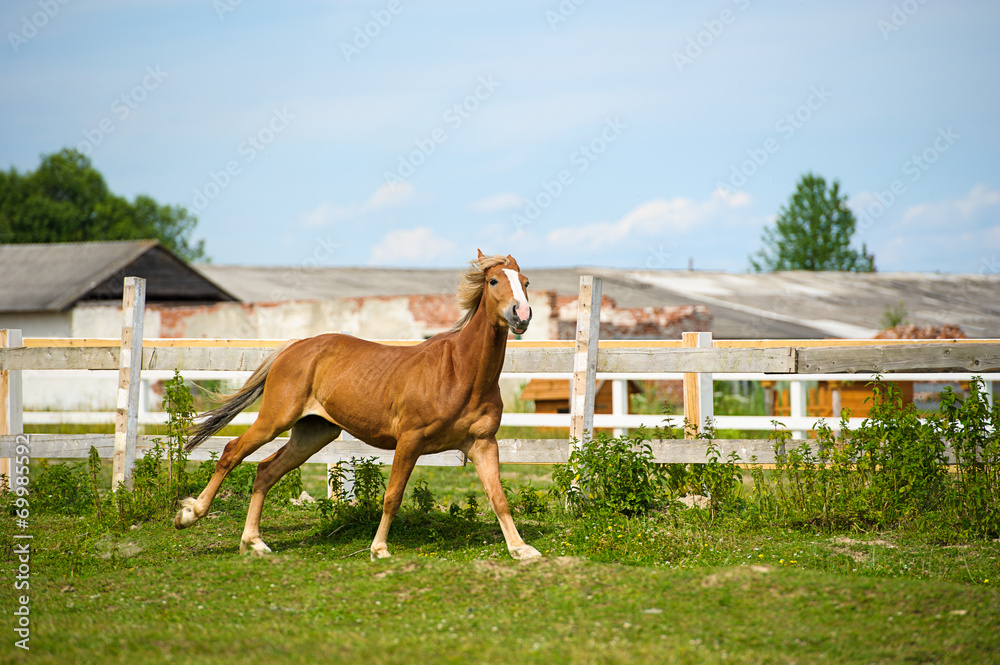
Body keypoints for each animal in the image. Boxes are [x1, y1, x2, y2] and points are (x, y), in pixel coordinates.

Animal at [174, 250, 541, 561]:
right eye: (493, 281)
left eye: (525, 283)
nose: (521, 315)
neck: (460, 373)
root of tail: (295, 347)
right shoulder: (410, 441)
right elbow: (392, 496)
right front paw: (379, 549)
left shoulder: (482, 444)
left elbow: (498, 498)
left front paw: (522, 550)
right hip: (275, 420)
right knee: (232, 452)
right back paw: (190, 515)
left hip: (313, 433)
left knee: (266, 470)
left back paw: (254, 542)